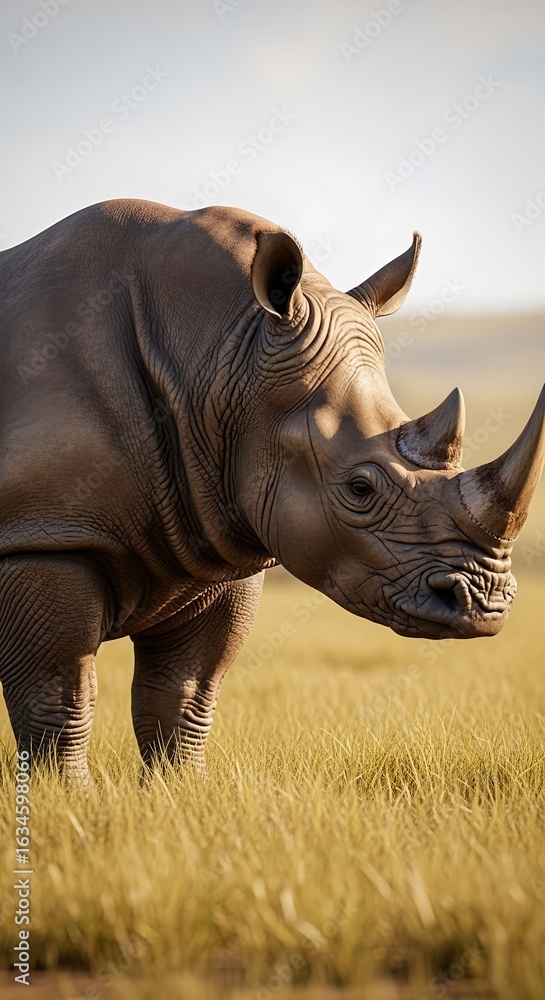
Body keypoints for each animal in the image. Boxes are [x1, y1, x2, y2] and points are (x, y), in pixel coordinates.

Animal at [0, 199, 543, 784]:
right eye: (359, 488)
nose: (487, 604)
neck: (218, 354)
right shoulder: (47, 534)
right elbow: (59, 697)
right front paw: (64, 796)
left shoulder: (215, 539)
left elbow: (185, 695)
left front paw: (182, 792)